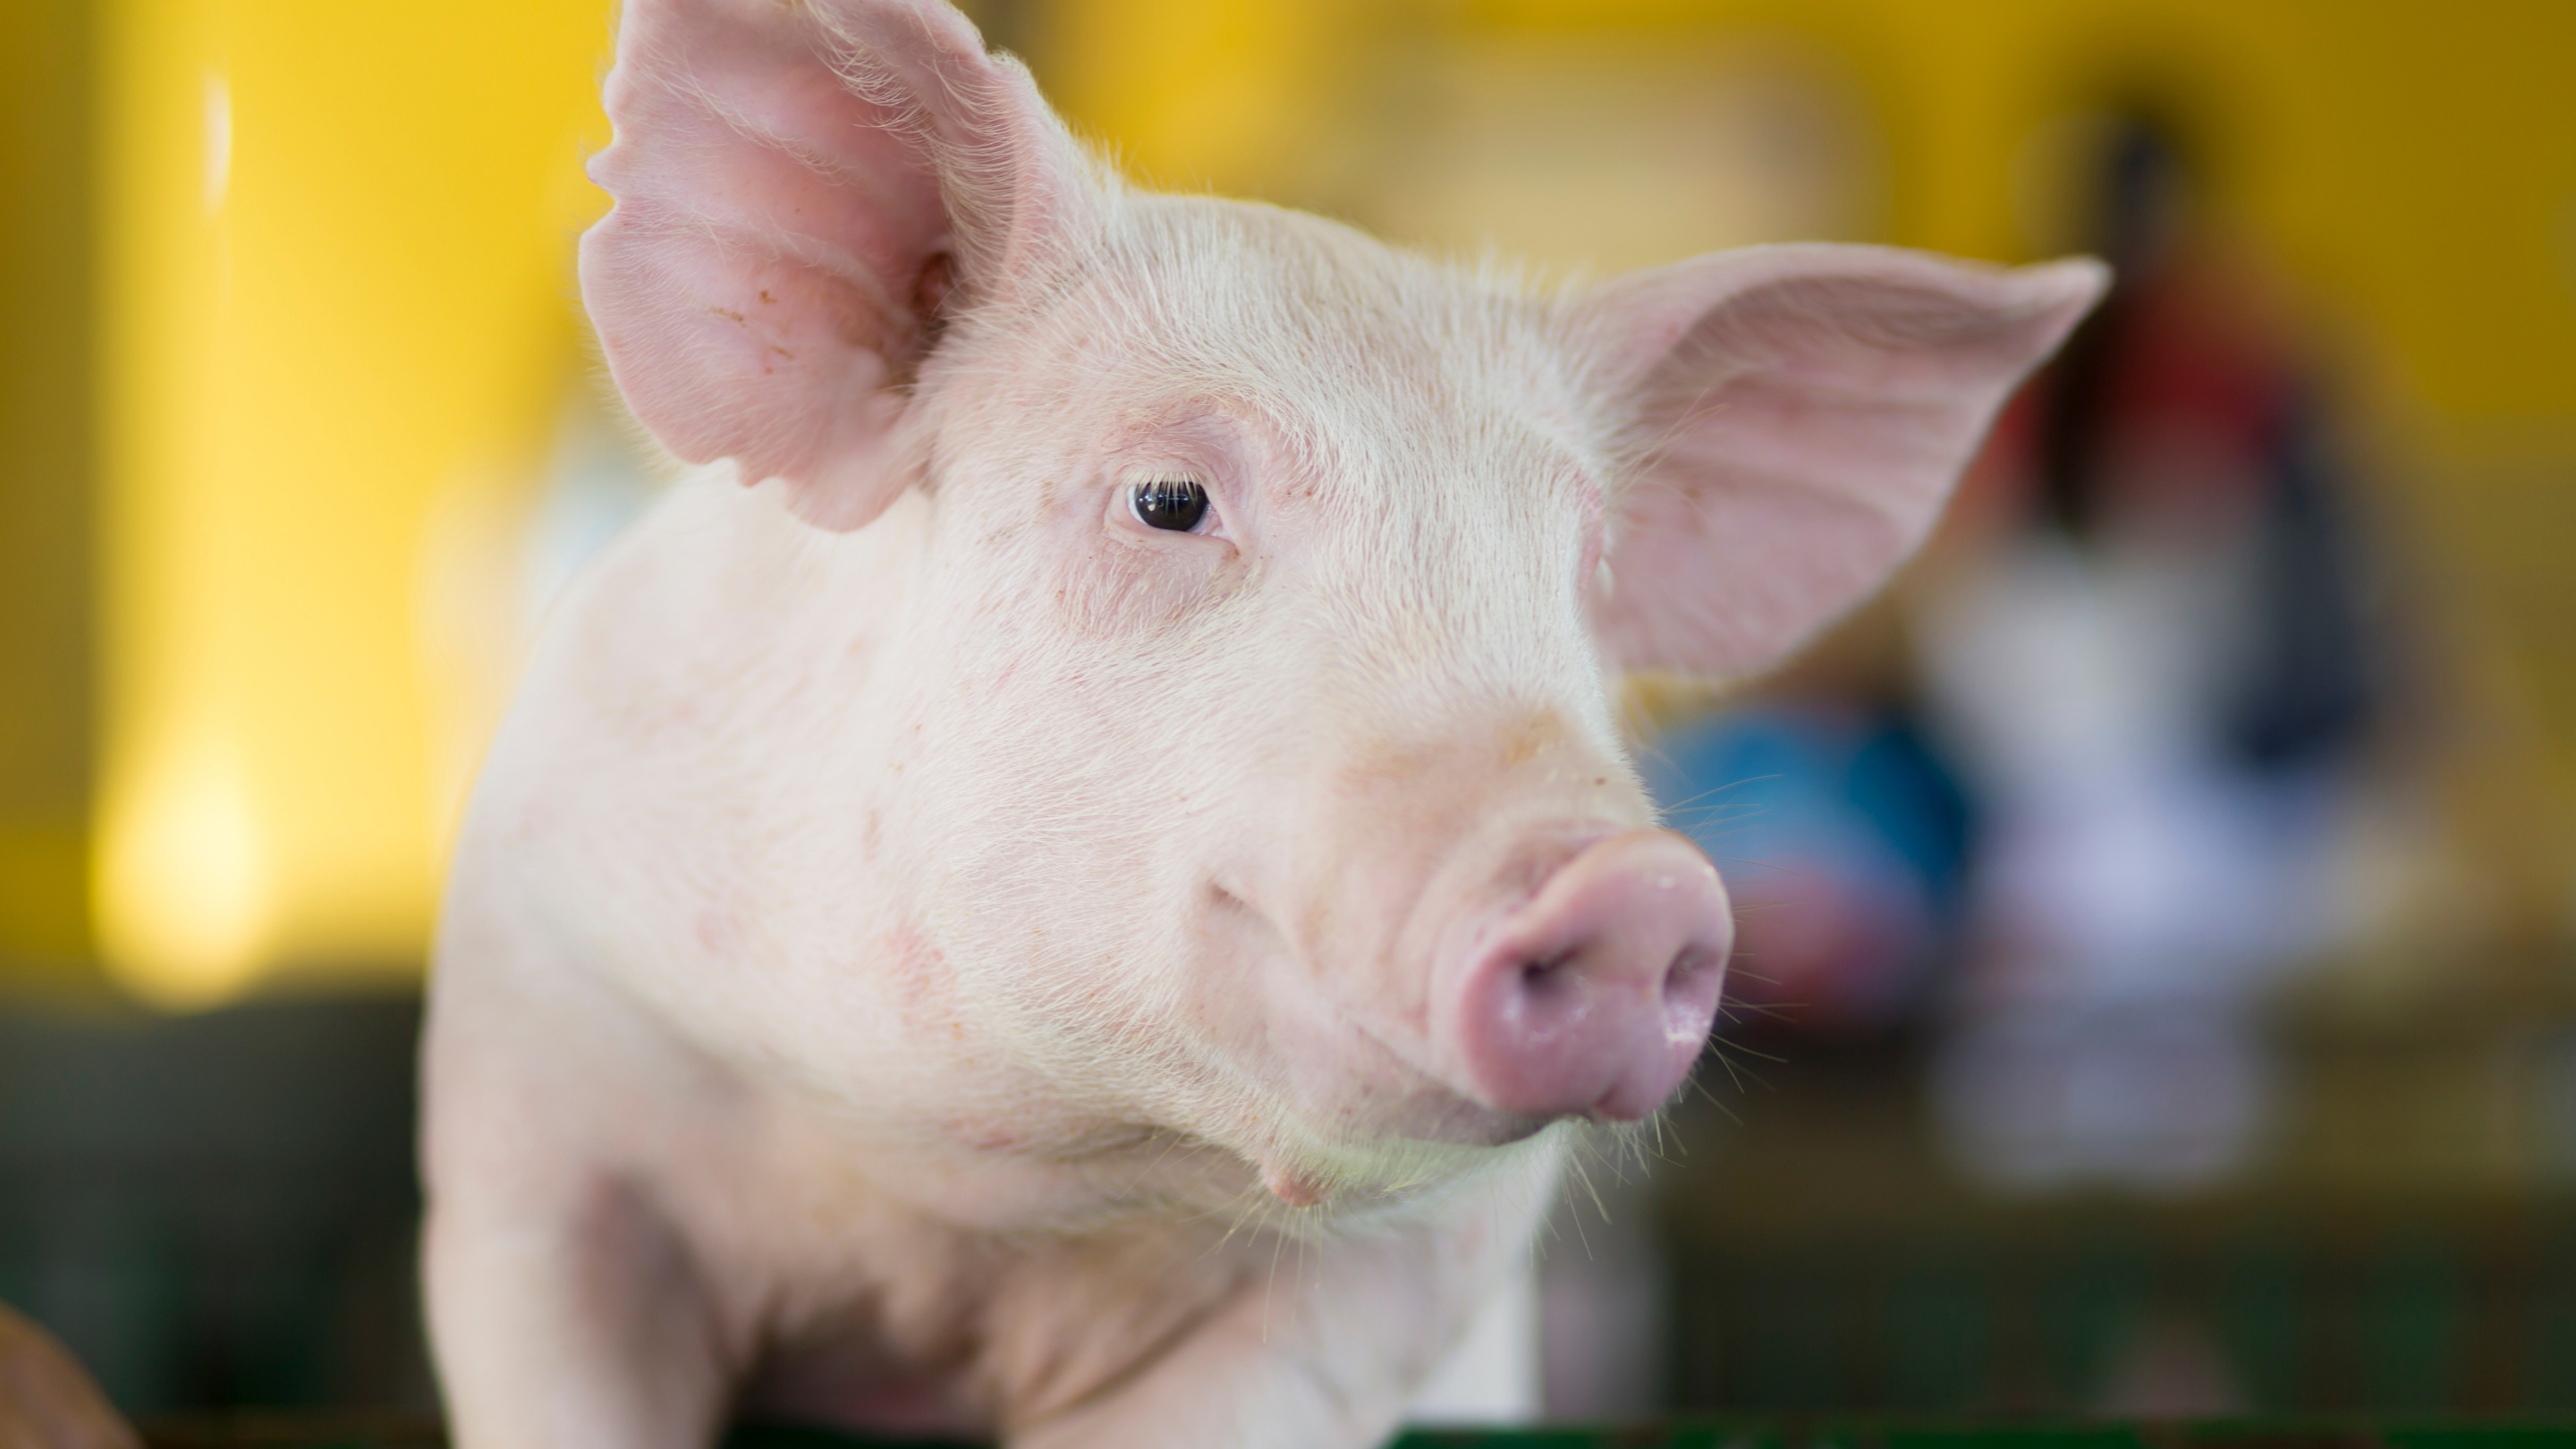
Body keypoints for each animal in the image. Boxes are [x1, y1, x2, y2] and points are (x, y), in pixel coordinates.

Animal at [428, 3, 2112, 1444]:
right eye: (1170, 499)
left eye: (1583, 568)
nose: (1634, 888)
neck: (973, 1221)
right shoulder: (535, 1103)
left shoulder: (1426, 1265)